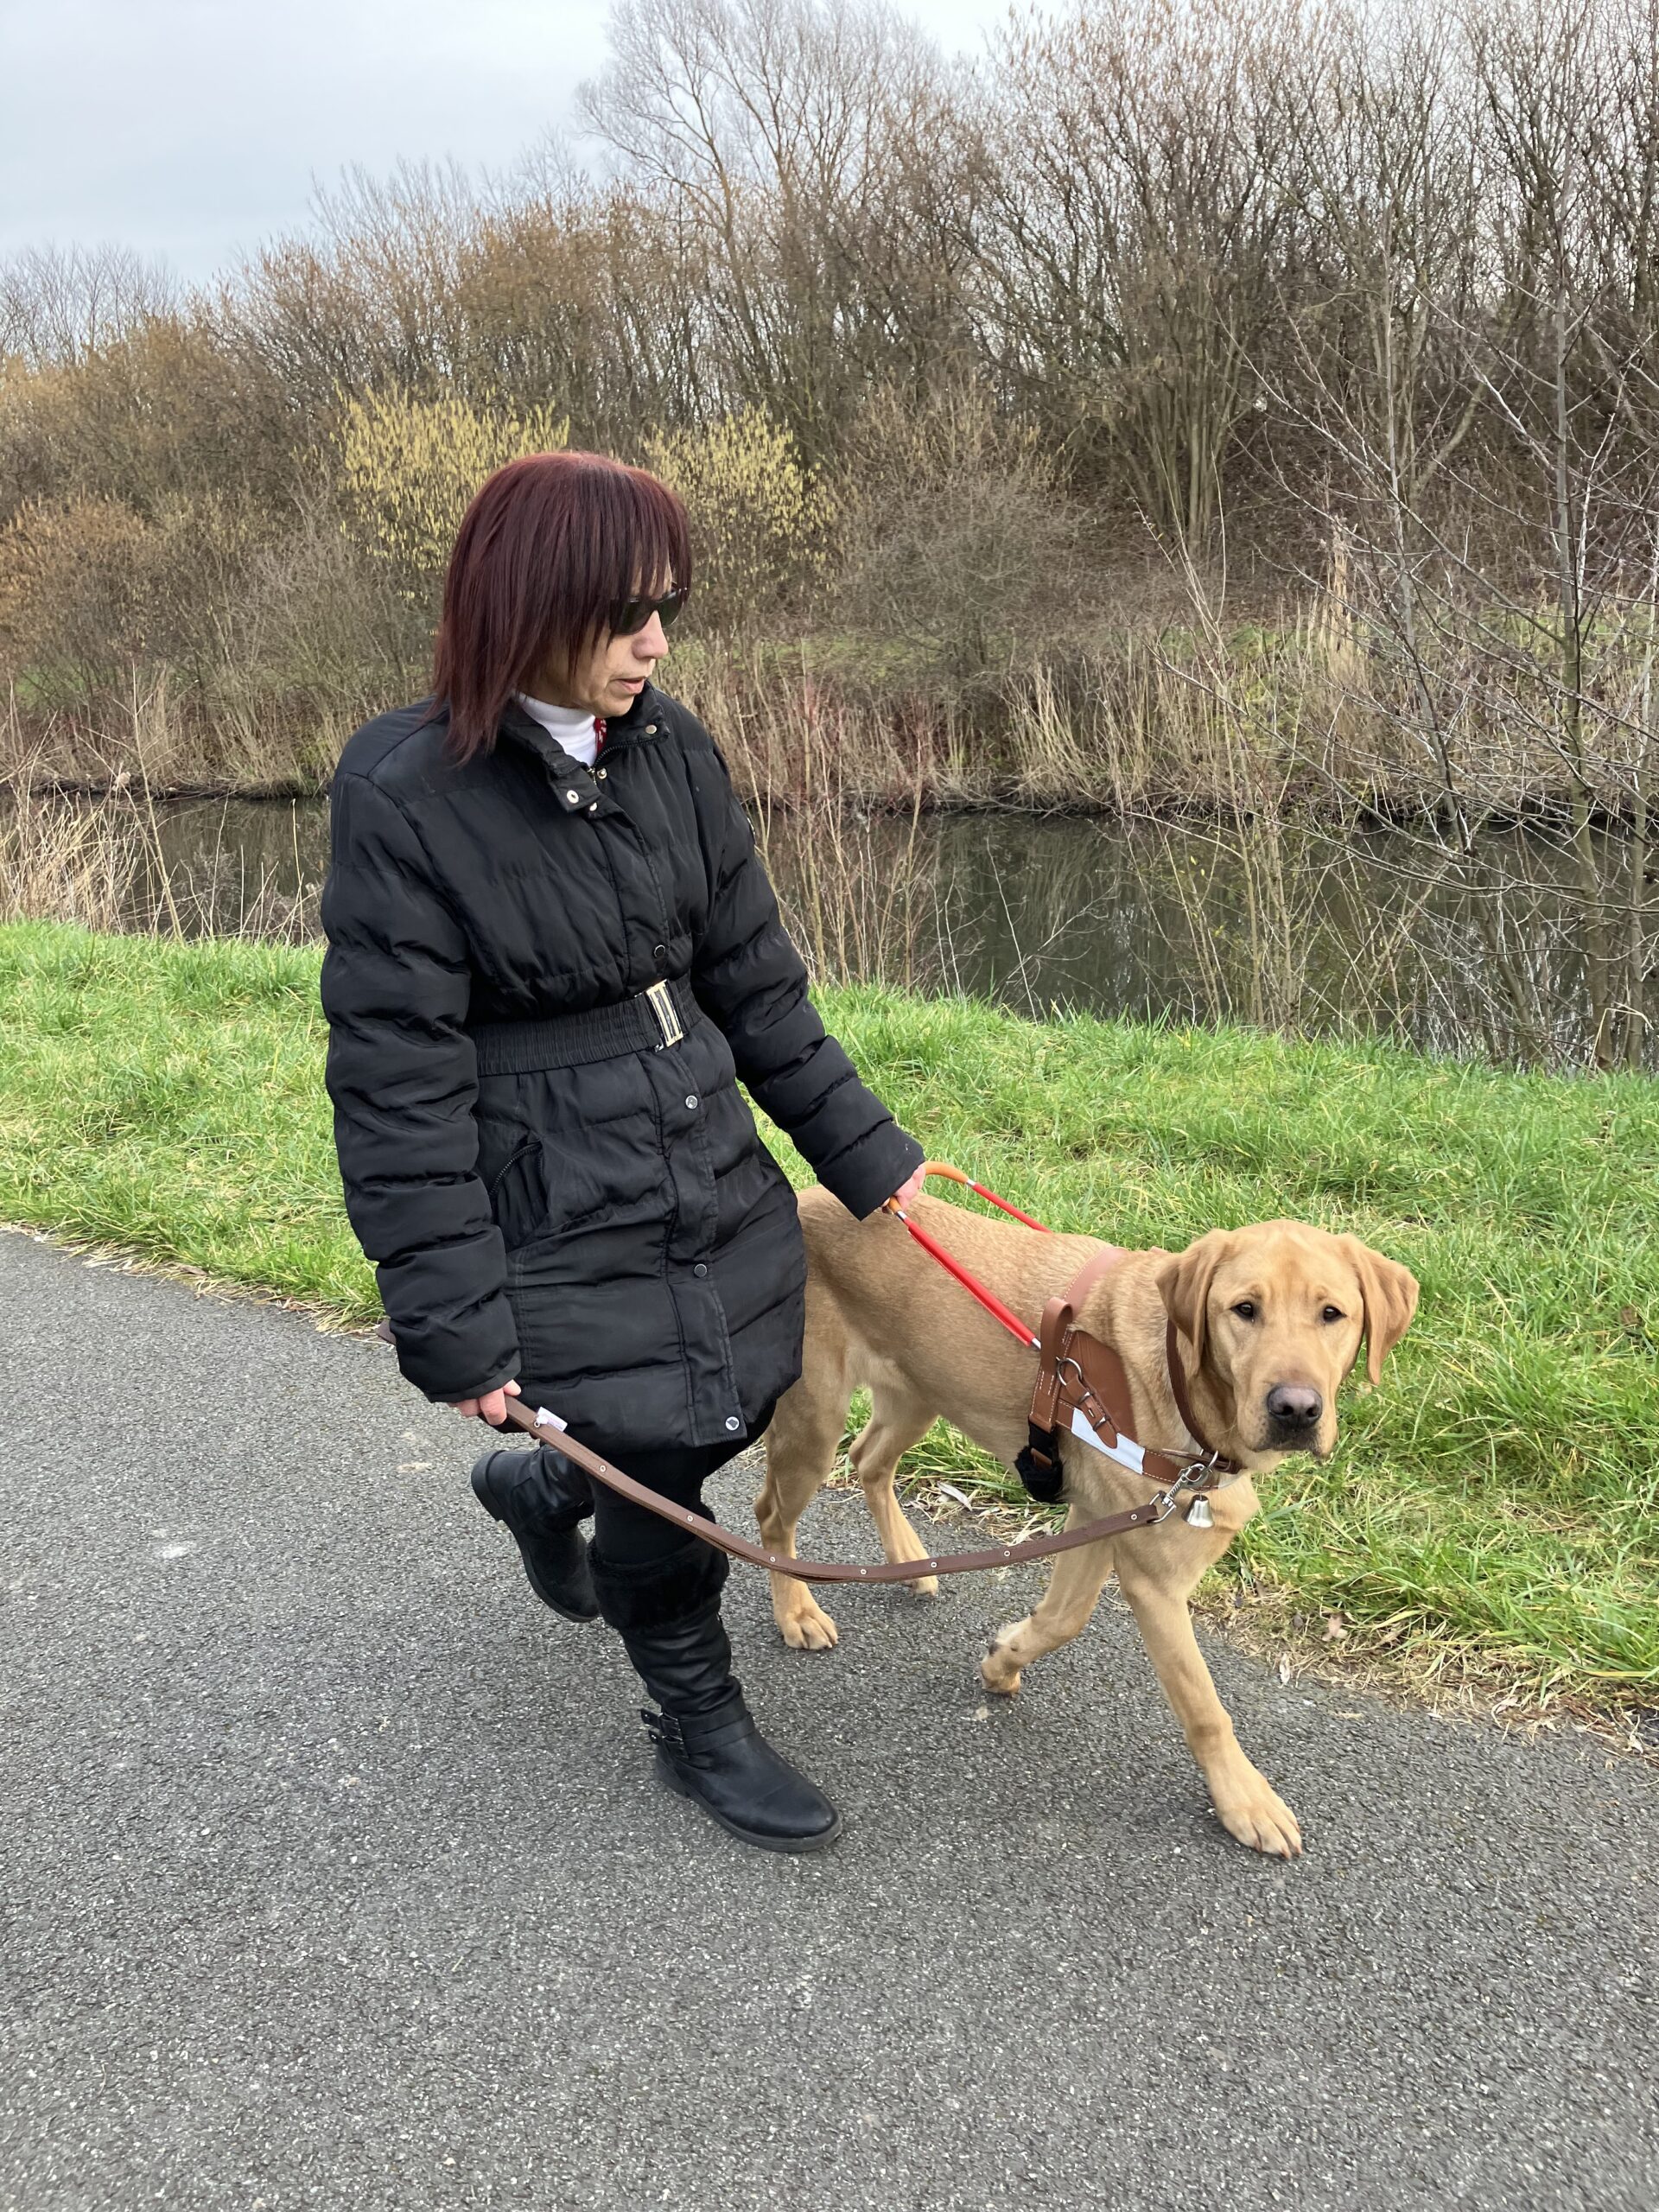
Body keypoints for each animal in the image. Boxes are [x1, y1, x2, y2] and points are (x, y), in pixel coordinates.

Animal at [760, 1185, 1424, 1858]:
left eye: (1333, 1314)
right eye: (1244, 1310)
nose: (1296, 1409)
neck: (1182, 1379)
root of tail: (806, 1196)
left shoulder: (1097, 1517)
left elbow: (1062, 1619)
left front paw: (1003, 1660)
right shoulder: (1154, 1579)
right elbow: (1204, 1706)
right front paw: (1244, 1799)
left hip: (919, 1394)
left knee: (869, 1460)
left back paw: (908, 1560)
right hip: (815, 1421)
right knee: (771, 1519)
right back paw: (797, 1611)